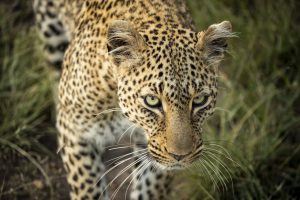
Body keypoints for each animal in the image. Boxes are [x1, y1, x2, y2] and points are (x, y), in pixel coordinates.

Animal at [33, 0, 234, 200]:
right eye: (152, 101)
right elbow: (88, 187)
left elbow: (150, 188)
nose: (180, 156)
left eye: (200, 100)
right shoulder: (75, 130)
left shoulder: (153, 151)